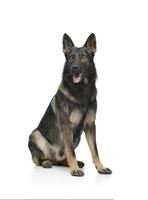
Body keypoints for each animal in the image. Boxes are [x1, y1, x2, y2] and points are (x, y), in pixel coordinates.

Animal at [28, 33, 112, 176]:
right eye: (71, 57)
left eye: (83, 57)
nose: (75, 68)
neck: (82, 90)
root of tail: (54, 158)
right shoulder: (67, 127)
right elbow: (71, 152)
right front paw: (75, 170)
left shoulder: (90, 126)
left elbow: (95, 150)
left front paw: (100, 167)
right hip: (35, 135)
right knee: (39, 160)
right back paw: (47, 162)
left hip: (76, 138)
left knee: (62, 158)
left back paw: (72, 163)